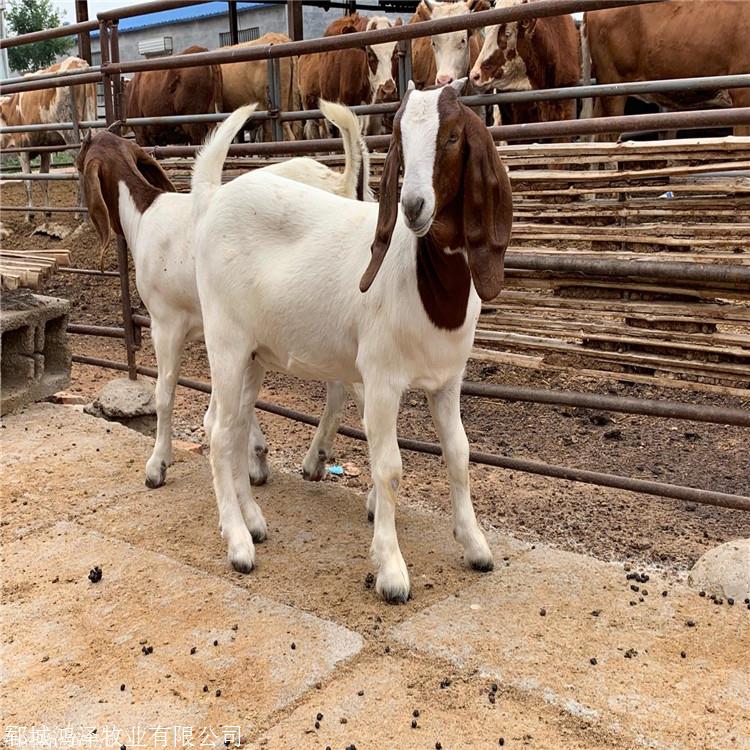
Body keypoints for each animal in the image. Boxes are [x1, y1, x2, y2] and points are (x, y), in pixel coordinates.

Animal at [0, 56, 97, 222]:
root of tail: (77, 62)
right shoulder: (45, 149)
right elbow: (43, 177)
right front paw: (47, 211)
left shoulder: (22, 150)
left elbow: (27, 180)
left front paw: (29, 214)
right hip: (91, 120)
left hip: (70, 132)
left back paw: (80, 212)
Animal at [78, 100, 374, 490]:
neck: (144, 215)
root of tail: (343, 183)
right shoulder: (224, 330)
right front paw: (256, 458)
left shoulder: (165, 322)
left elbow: (165, 394)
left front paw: (157, 465)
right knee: (341, 385)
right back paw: (316, 459)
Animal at [191, 82, 516, 604]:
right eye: (401, 138)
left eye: (451, 137)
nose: (414, 206)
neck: (418, 276)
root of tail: (212, 200)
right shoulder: (381, 379)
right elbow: (389, 467)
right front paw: (391, 570)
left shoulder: (448, 381)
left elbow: (460, 455)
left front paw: (476, 546)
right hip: (225, 340)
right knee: (220, 432)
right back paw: (239, 544)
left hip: (254, 355)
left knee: (233, 425)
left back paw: (254, 520)